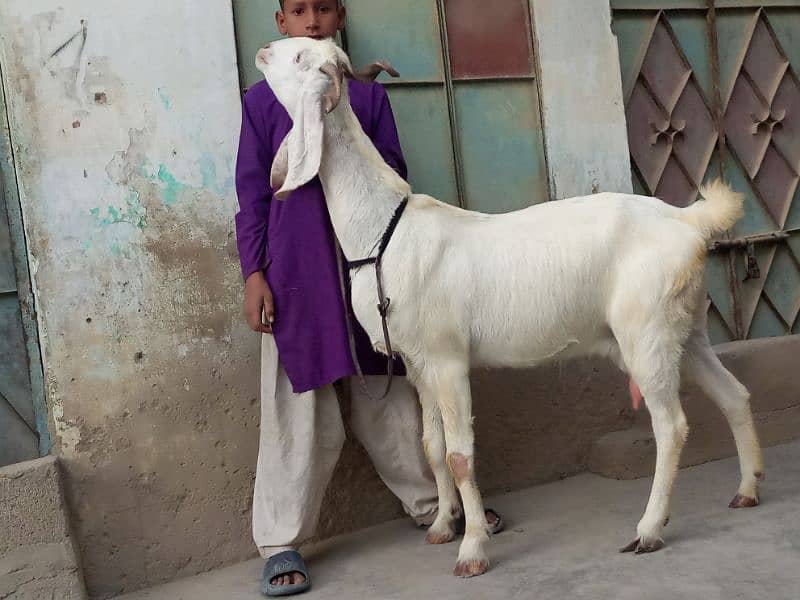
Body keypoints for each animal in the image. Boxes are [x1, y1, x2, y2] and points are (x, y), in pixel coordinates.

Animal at [256, 36, 764, 576]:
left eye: (299, 58)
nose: (263, 50)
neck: (385, 230)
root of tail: (689, 221)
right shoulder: (419, 364)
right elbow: (431, 447)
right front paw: (442, 527)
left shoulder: (448, 359)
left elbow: (459, 456)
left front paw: (472, 549)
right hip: (686, 329)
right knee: (734, 394)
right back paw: (747, 489)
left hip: (645, 332)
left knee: (671, 425)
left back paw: (648, 530)